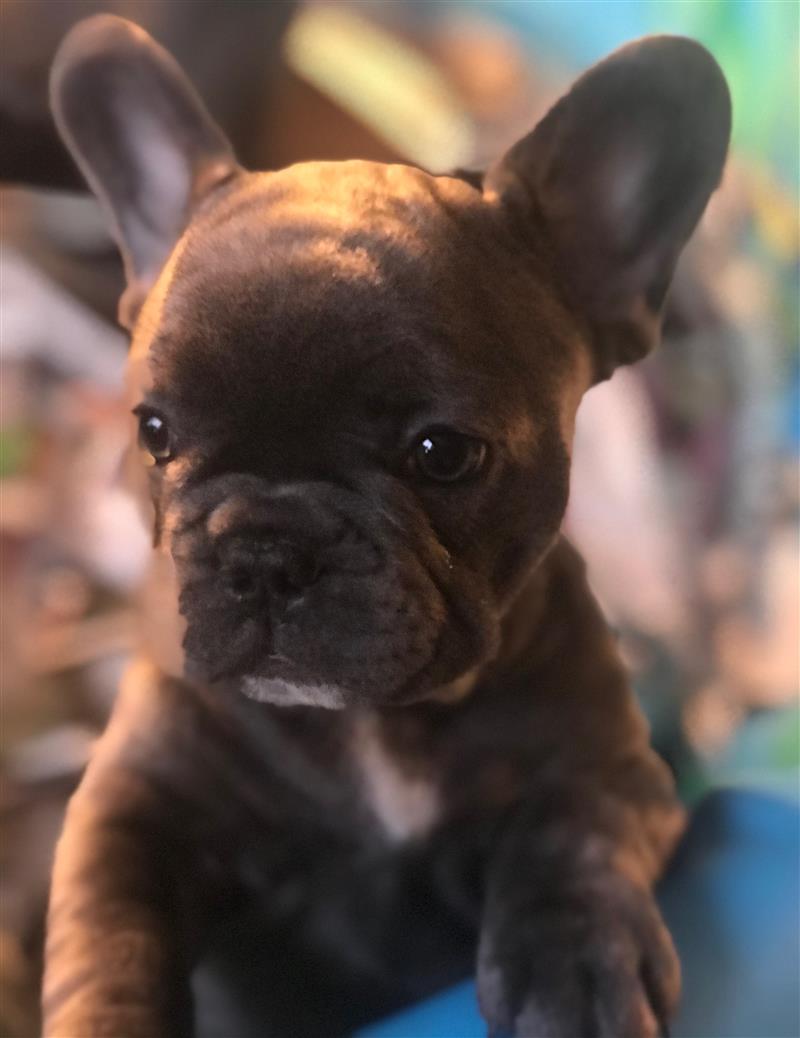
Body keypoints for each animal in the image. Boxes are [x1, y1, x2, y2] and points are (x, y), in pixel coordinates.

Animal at [41, 15, 730, 1037]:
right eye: (153, 433)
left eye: (443, 453)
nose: (266, 551)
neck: (373, 727)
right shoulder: (135, 801)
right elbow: (107, 932)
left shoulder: (612, 762)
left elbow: (572, 835)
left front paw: (572, 970)